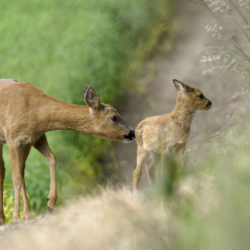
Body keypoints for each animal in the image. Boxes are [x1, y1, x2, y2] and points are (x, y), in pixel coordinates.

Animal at [0, 78, 135, 225]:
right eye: (114, 117)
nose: (132, 133)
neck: (37, 112)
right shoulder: (13, 139)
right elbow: (16, 178)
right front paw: (16, 218)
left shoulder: (34, 138)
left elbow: (51, 159)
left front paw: (50, 204)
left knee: (5, 170)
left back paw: (9, 217)